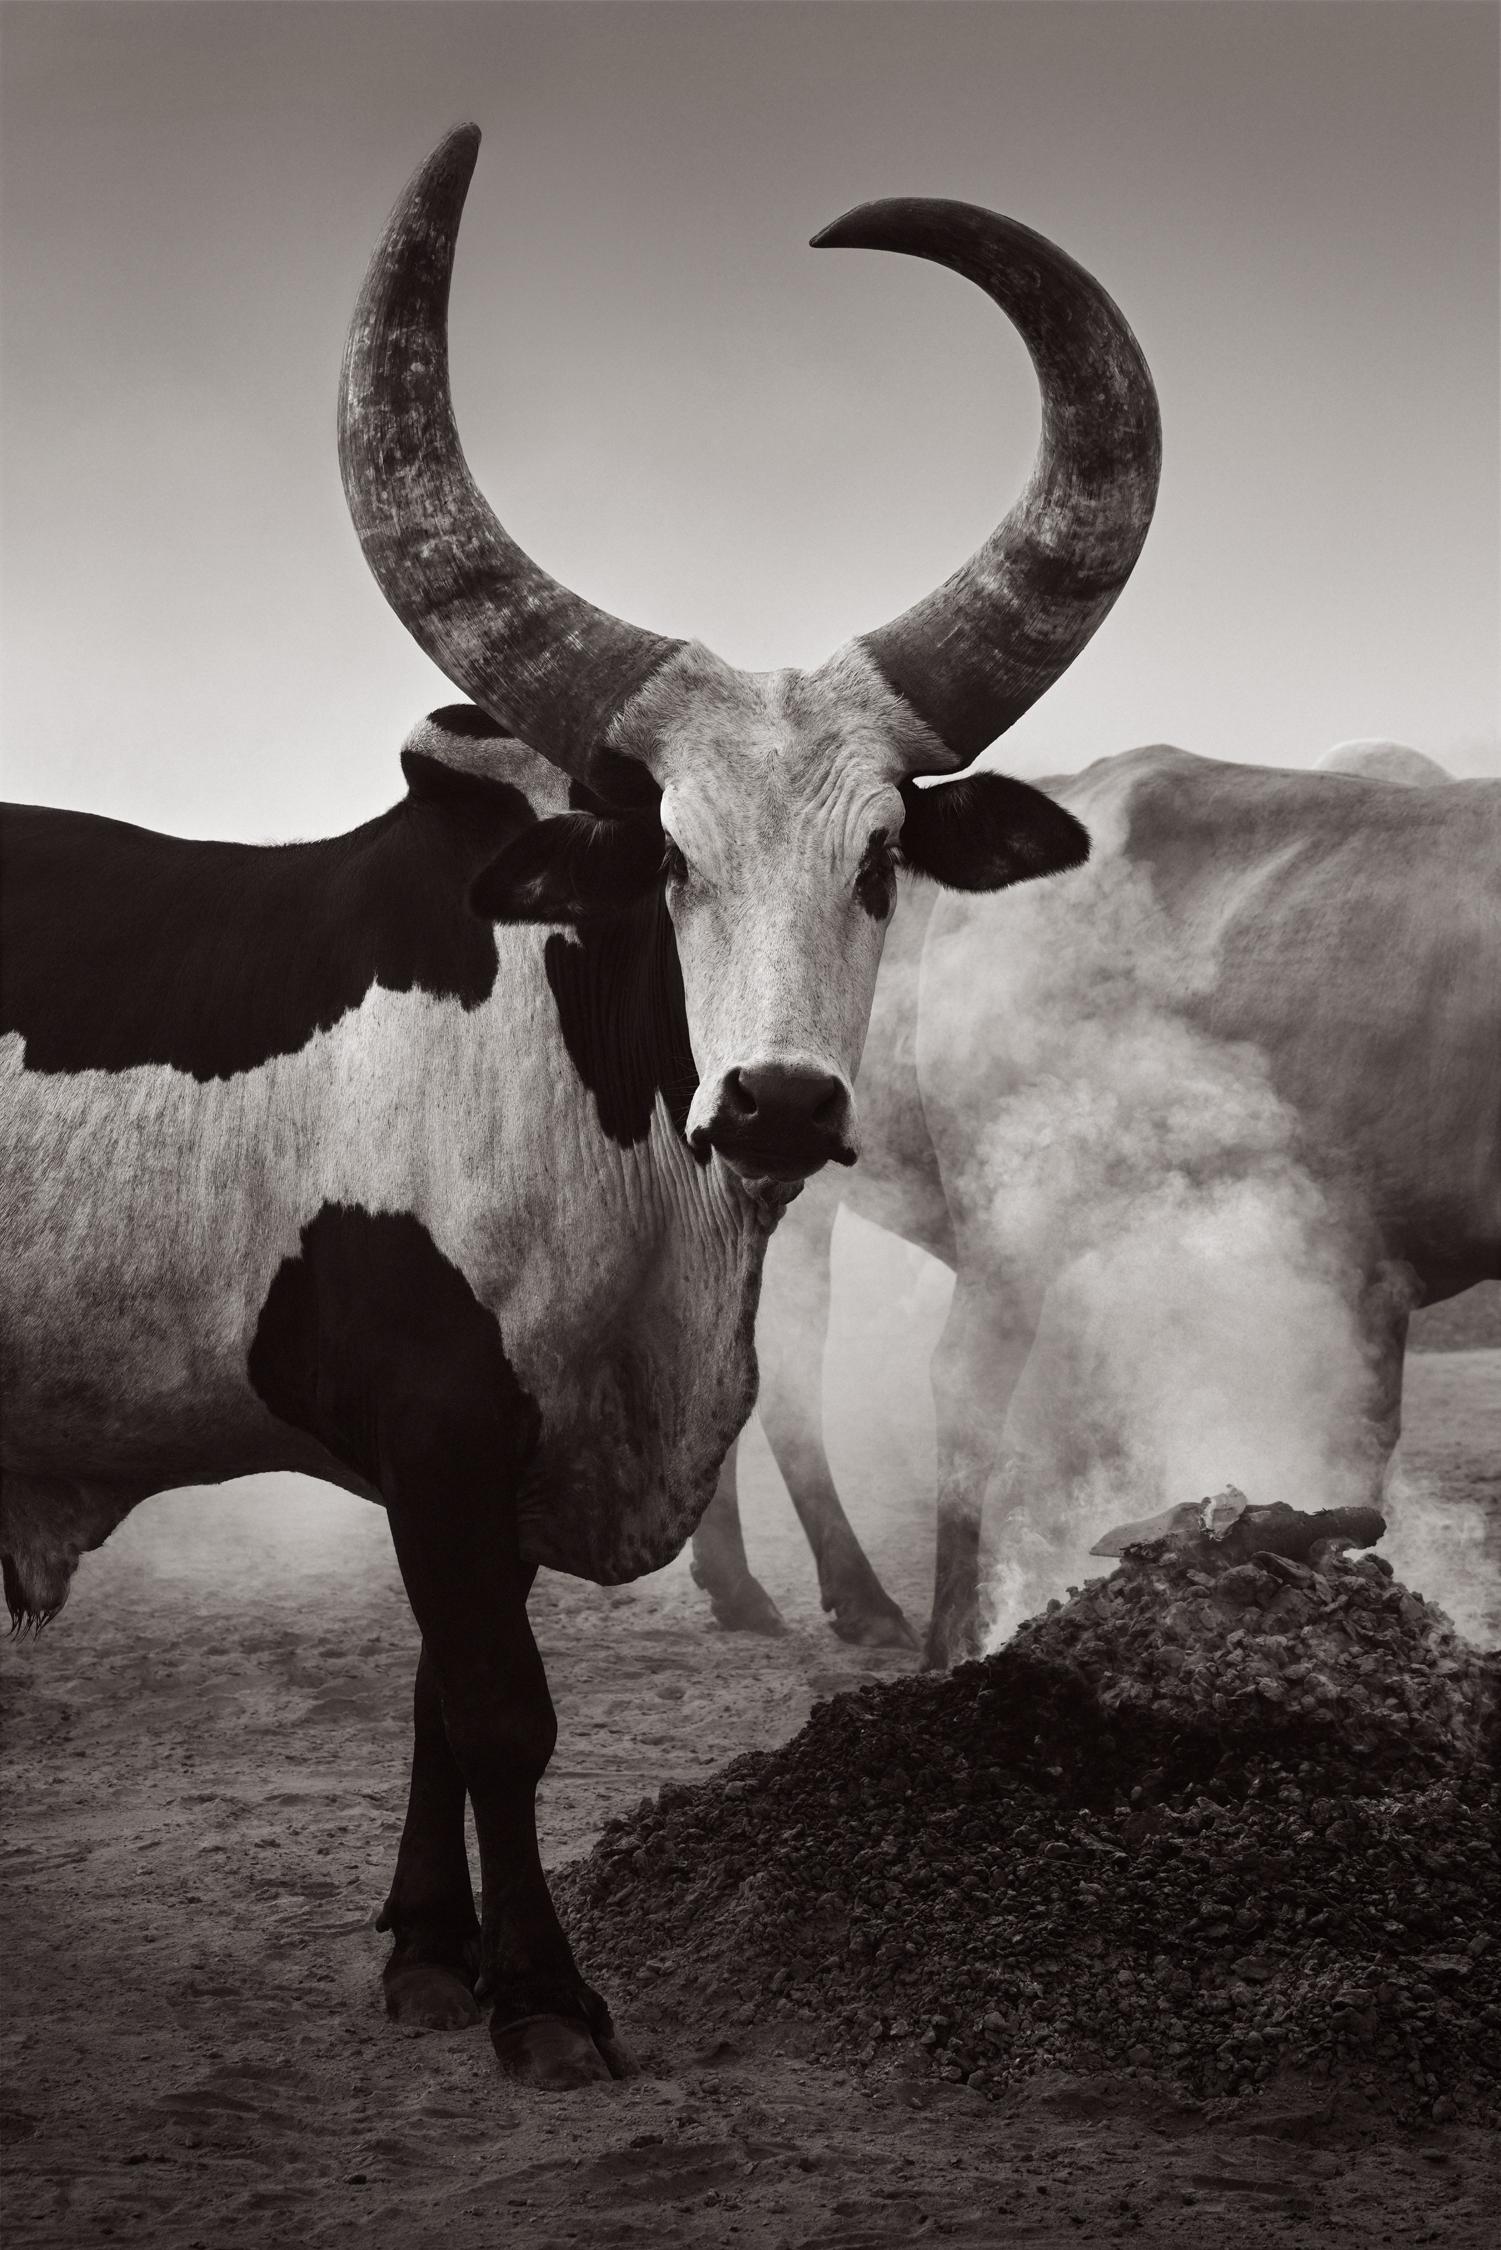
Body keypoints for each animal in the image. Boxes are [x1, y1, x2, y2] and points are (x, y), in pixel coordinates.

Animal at [0, 127, 1161, 2088]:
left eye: (881, 860)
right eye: (665, 859)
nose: (776, 1106)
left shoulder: (483, 1461)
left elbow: (432, 1698)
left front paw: (429, 1953)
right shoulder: (444, 1425)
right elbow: (497, 1710)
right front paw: (544, 1999)